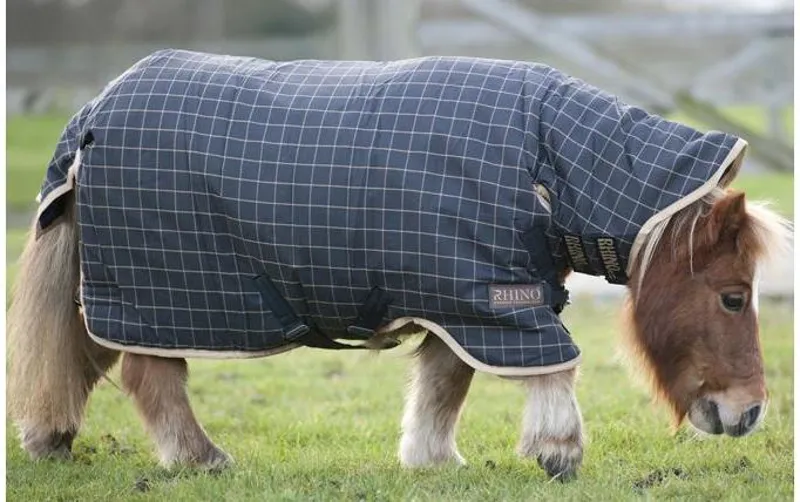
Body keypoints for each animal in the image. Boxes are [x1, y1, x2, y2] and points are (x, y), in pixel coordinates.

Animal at [7, 50, 792, 481]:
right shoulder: (497, 301)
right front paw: (557, 450)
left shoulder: (458, 300)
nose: (750, 413)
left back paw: (51, 439)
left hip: (127, 292)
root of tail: (93, 114)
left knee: (86, 357)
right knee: (150, 375)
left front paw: (432, 459)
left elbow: (446, 382)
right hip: (158, 295)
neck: (544, 164)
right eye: (732, 297)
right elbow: (550, 368)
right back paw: (200, 457)